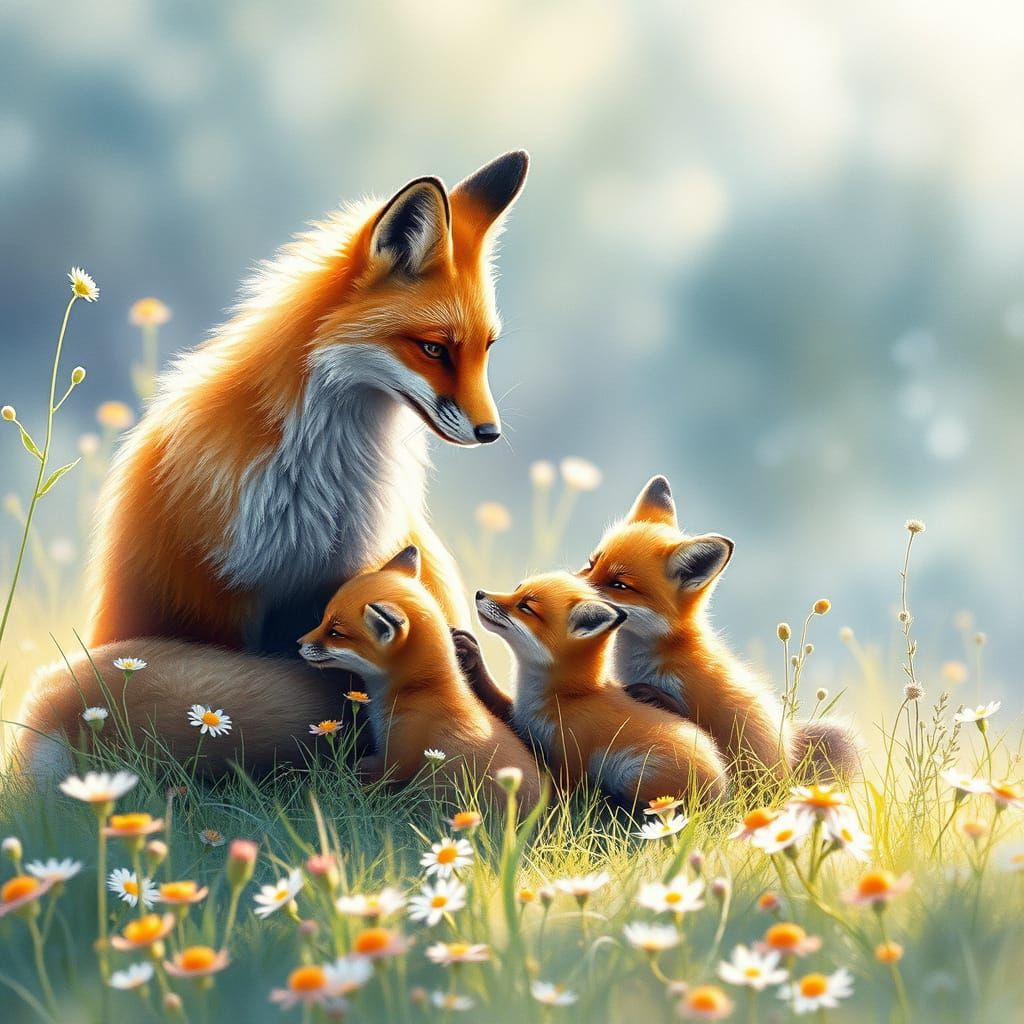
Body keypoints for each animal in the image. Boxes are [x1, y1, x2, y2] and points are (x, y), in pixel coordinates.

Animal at [85, 150, 529, 654]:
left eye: (486, 348)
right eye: (434, 349)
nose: (490, 433)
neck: (319, 490)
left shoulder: (348, 573)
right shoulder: (224, 592)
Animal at [297, 546, 542, 807]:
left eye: (336, 632)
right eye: (324, 620)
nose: (298, 643)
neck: (420, 690)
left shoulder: (398, 758)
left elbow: (370, 773)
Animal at [474, 571, 729, 808]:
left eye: (525, 607)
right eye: (517, 589)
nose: (479, 593)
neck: (566, 697)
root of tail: (723, 789)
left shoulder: (571, 759)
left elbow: (557, 794)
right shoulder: (524, 726)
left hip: (635, 776)